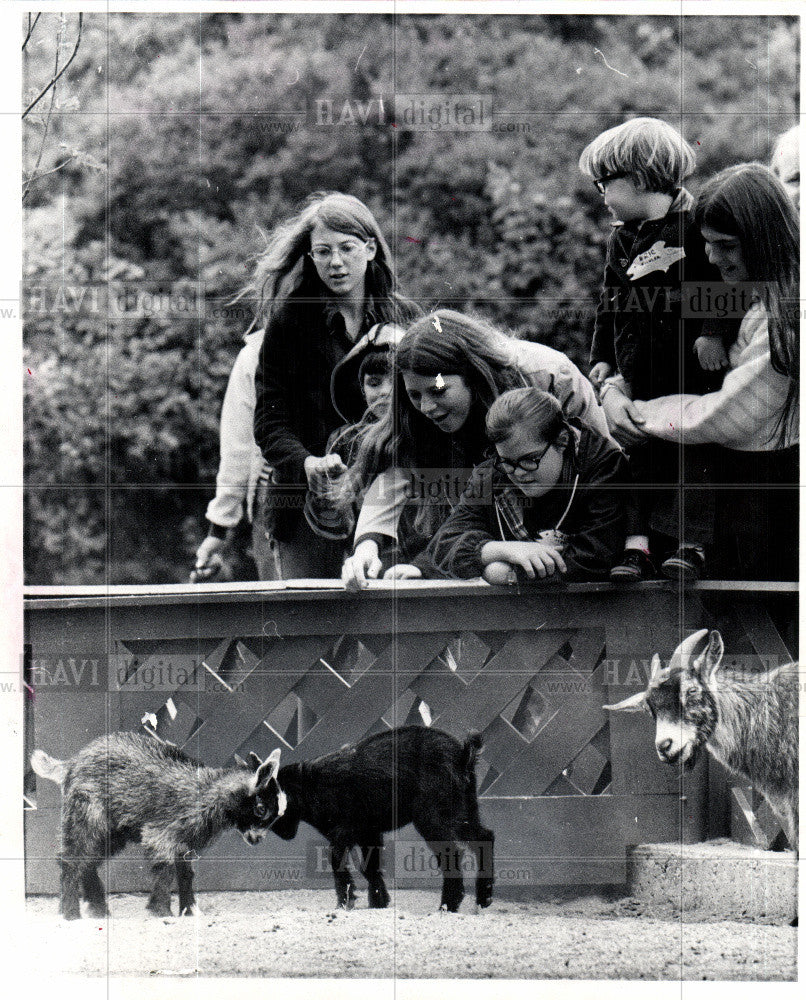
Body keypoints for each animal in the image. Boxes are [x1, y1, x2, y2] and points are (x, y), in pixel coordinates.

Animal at [30, 732, 284, 916]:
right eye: (261, 809)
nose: (257, 839)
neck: (209, 791)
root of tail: (71, 763)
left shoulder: (185, 843)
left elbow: (186, 873)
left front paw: (189, 910)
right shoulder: (163, 832)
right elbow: (166, 867)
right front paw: (160, 910)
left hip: (113, 831)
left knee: (89, 860)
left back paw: (98, 908)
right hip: (86, 812)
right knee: (72, 857)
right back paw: (70, 912)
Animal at [249, 728, 496, 916]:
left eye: (261, 805)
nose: (254, 837)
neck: (309, 784)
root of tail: (463, 755)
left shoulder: (345, 832)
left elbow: (339, 862)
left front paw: (345, 901)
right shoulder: (369, 833)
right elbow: (370, 867)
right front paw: (379, 901)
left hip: (434, 819)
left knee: (452, 853)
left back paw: (448, 904)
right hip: (464, 812)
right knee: (484, 837)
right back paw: (483, 897)